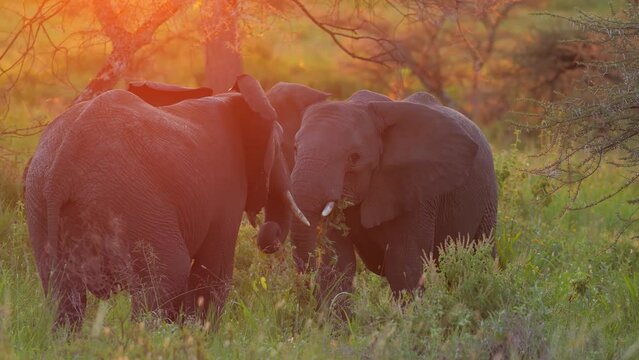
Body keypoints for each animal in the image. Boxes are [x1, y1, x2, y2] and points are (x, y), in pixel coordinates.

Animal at [25, 74, 312, 330]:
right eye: (282, 142)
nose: (267, 232)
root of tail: (63, 164)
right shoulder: (228, 189)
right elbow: (212, 274)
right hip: (134, 202)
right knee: (167, 277)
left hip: (39, 202)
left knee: (63, 294)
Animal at [256, 85, 500, 300]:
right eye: (295, 149)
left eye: (353, 158)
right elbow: (338, 264)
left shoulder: (416, 191)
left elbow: (404, 267)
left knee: (476, 256)